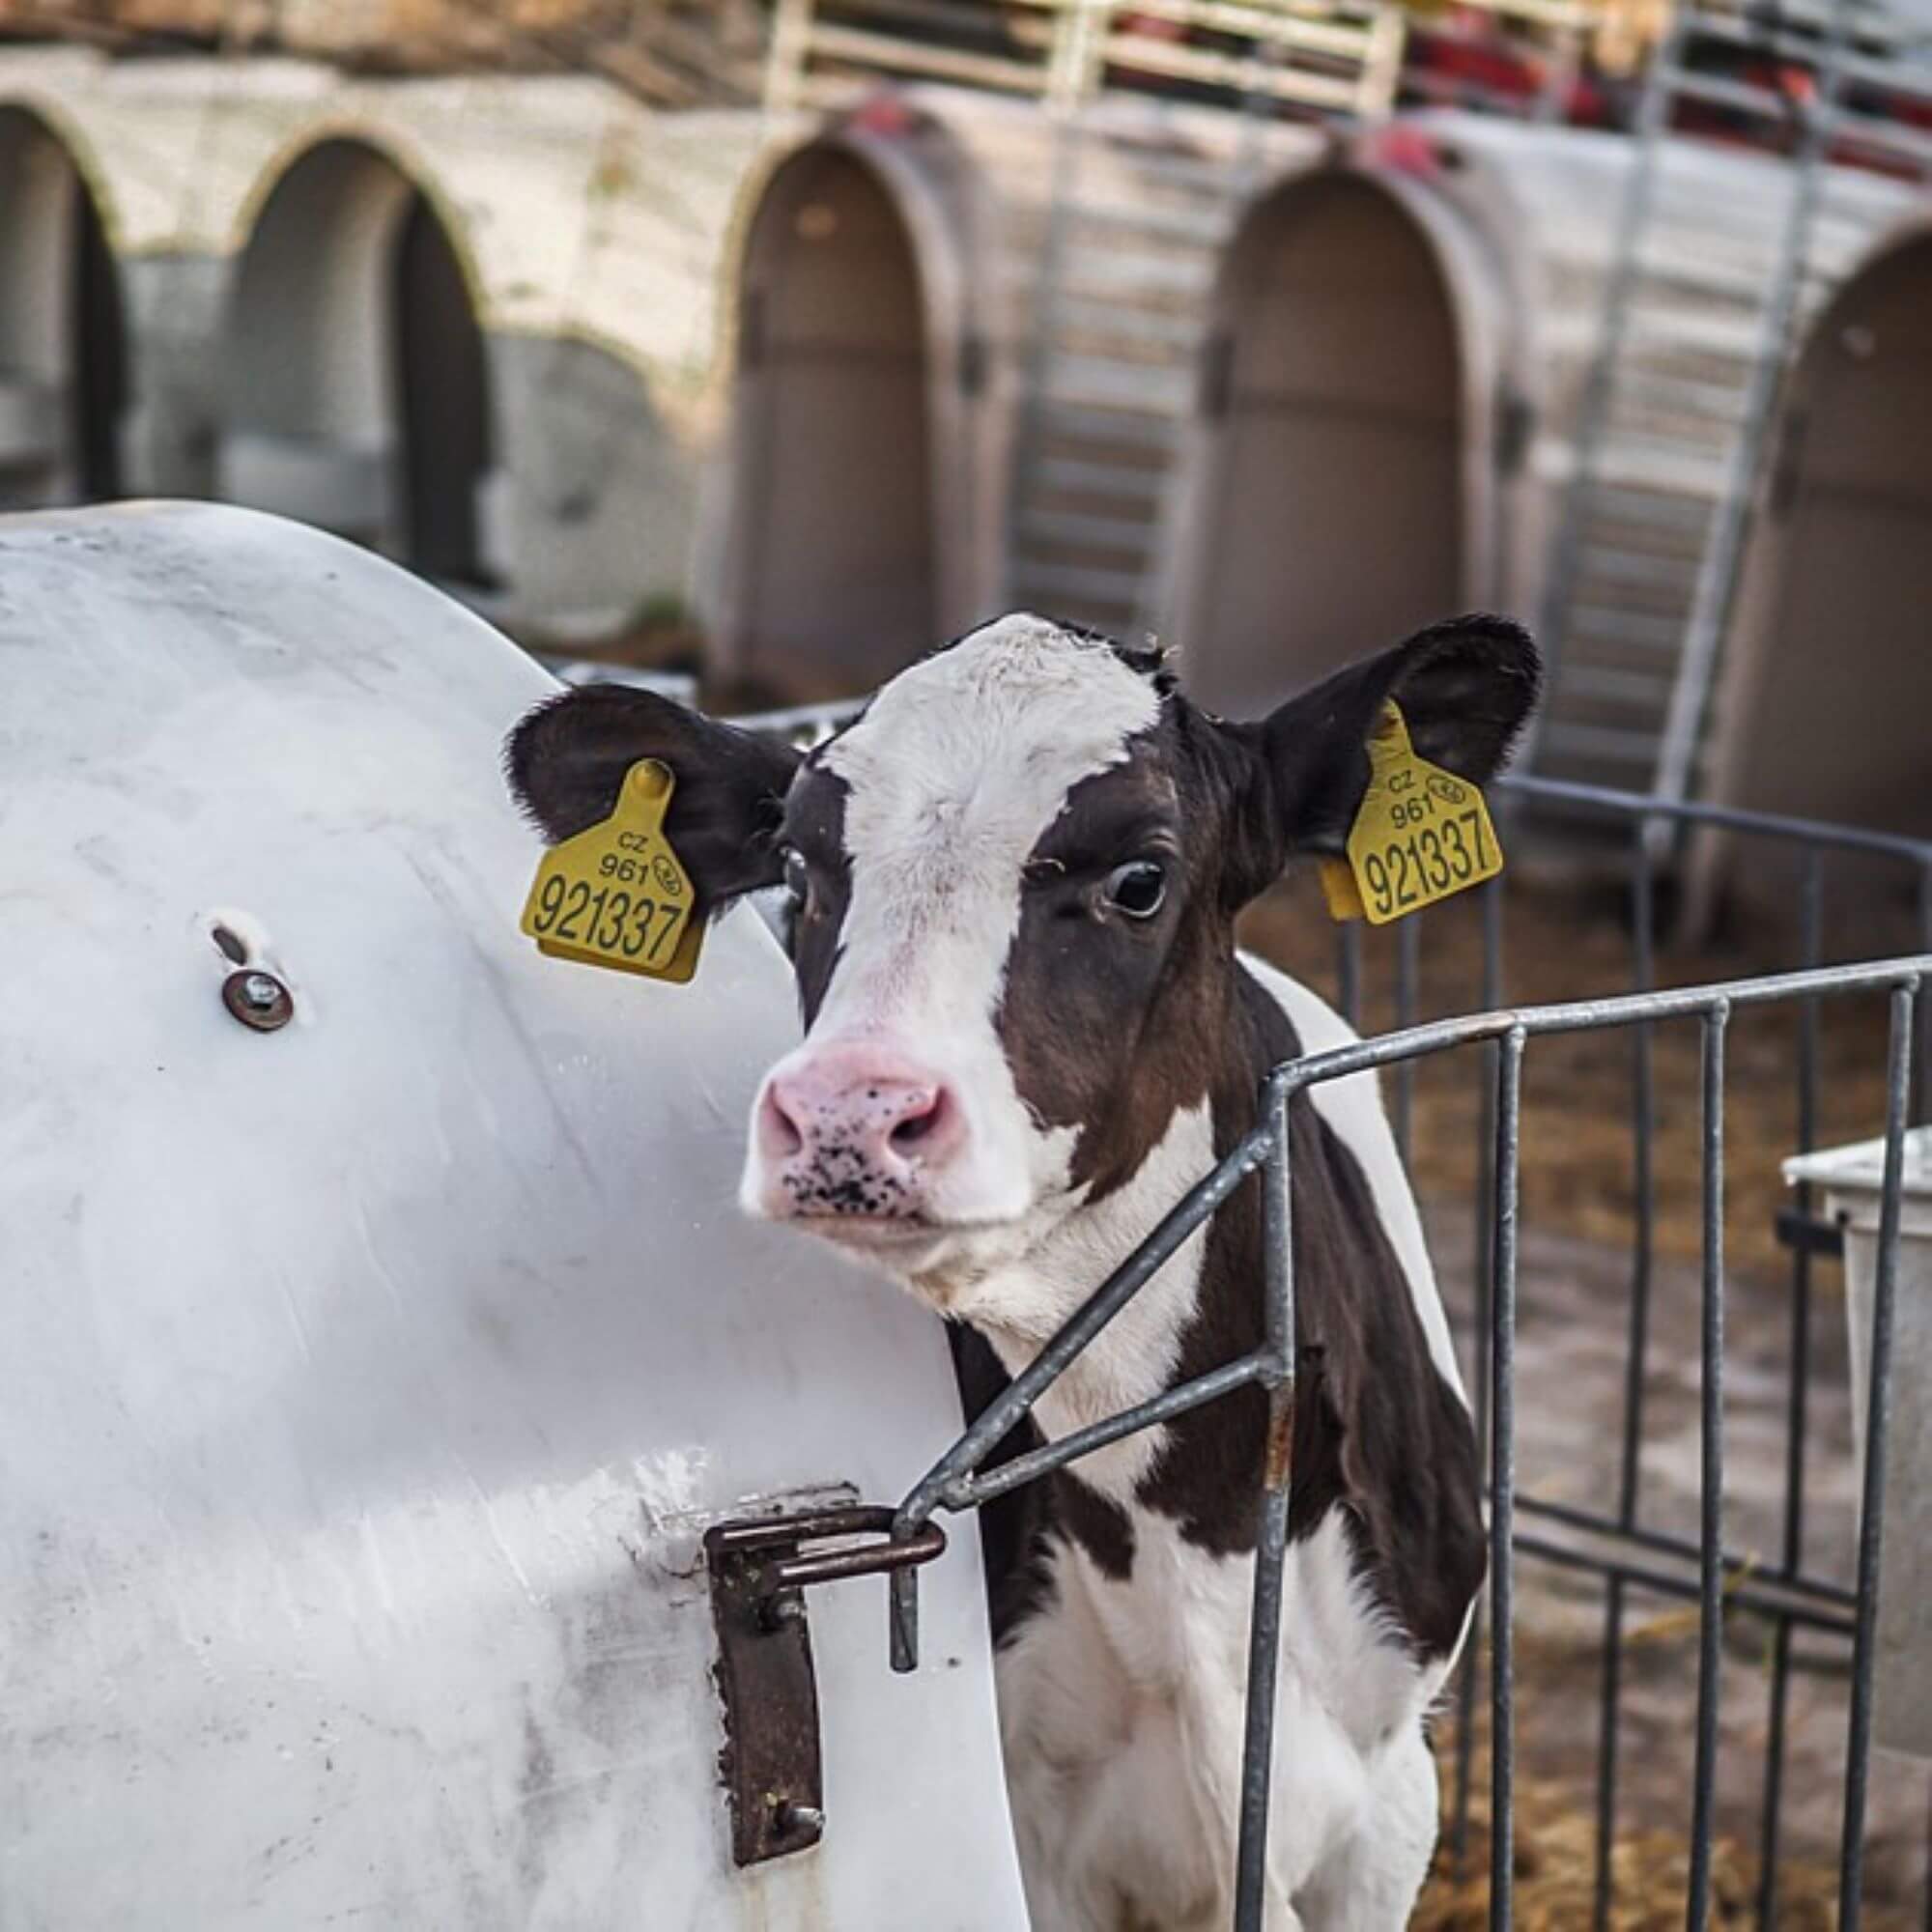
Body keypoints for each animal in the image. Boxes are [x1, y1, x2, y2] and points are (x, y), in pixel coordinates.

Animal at [510, 614, 1538, 1932]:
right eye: (797, 864)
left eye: (1139, 877)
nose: (848, 1112)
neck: (1192, 1538)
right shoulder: (1033, 1833)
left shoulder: (1390, 1798)